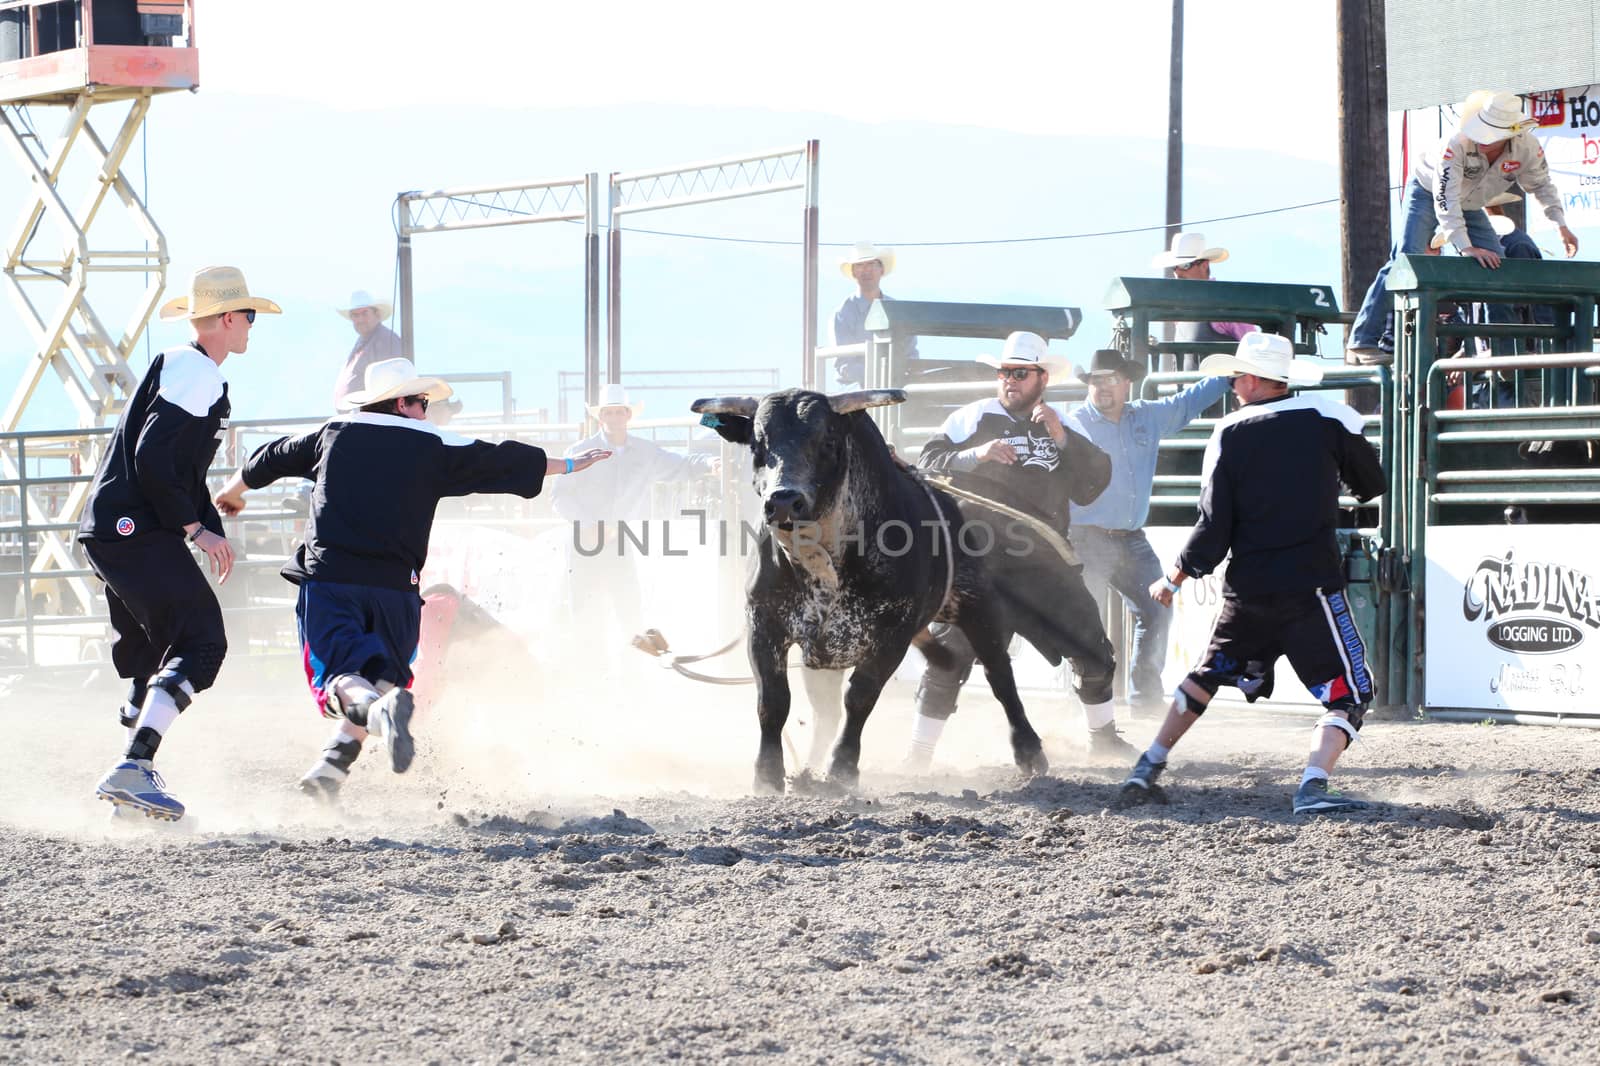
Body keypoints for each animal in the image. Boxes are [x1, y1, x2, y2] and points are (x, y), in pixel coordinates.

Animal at [691, 388, 1100, 787]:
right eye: (758, 444)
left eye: (828, 440)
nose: (783, 501)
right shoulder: (764, 624)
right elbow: (774, 701)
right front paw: (768, 775)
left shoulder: (892, 635)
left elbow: (860, 696)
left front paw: (843, 770)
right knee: (825, 712)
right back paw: (808, 769)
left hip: (978, 607)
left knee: (1000, 676)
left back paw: (1029, 751)